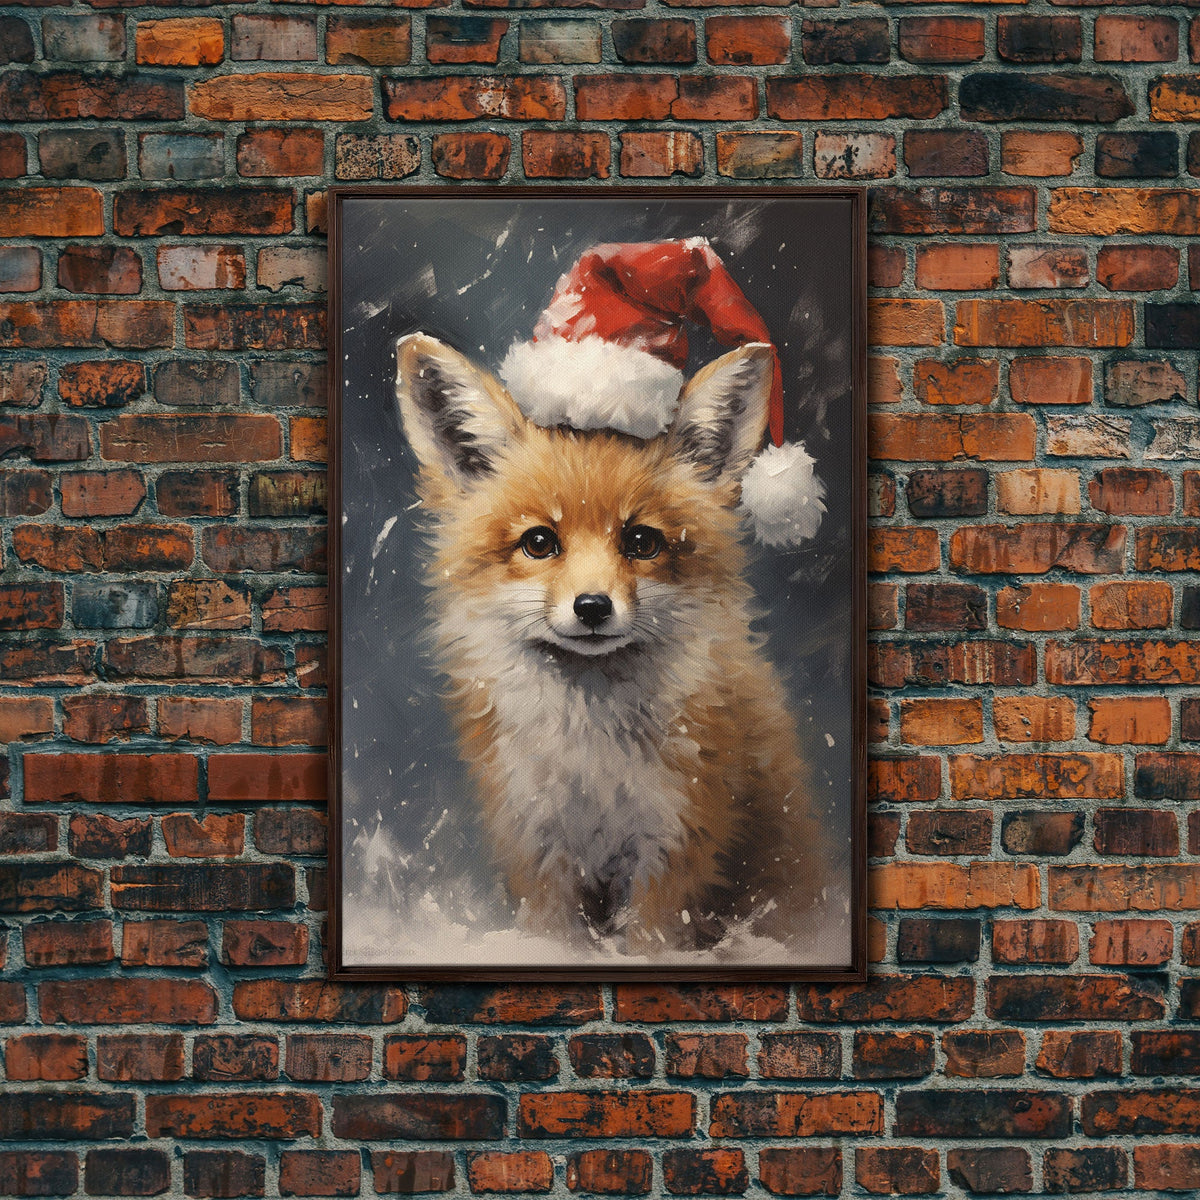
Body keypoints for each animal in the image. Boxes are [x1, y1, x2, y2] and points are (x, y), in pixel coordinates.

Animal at [394, 331, 829, 955]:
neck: (591, 762)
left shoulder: (677, 845)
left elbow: (651, 945)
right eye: (539, 542)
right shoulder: (538, 850)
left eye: (642, 541)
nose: (593, 607)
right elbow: (554, 940)